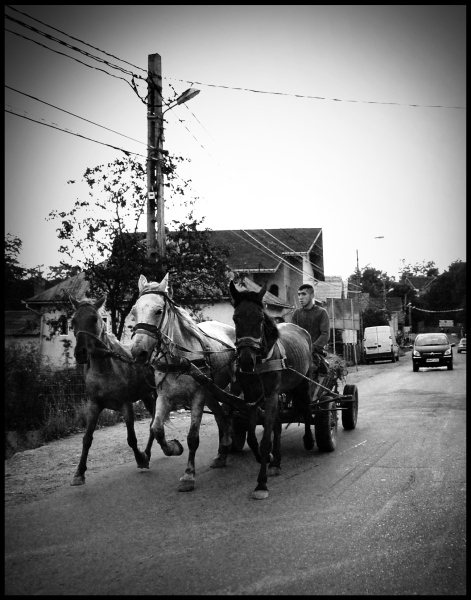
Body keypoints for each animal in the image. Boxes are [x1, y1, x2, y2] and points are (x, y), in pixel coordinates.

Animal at [69, 296, 156, 488]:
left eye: (95, 319)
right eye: (73, 321)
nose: (80, 353)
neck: (106, 369)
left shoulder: (126, 405)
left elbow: (131, 438)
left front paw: (140, 459)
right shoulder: (94, 405)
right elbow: (87, 439)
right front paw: (79, 473)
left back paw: (149, 454)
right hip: (147, 396)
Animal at [231, 282, 316, 502]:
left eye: (260, 319)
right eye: (235, 318)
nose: (246, 360)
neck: (260, 360)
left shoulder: (269, 396)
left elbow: (264, 441)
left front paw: (261, 484)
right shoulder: (251, 399)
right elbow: (253, 438)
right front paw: (267, 459)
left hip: (303, 382)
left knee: (306, 409)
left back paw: (309, 439)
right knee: (277, 424)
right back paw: (276, 462)